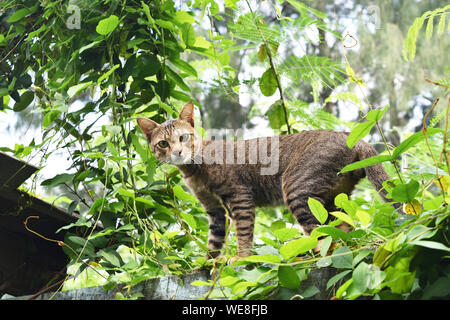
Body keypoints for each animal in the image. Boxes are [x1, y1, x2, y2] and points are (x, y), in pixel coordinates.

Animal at [138, 102, 394, 260]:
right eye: (163, 143)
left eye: (183, 137)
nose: (177, 151)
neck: (194, 169)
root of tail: (350, 137)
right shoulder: (214, 209)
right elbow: (214, 241)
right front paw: (207, 264)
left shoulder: (239, 196)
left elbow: (243, 231)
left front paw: (241, 258)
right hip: (333, 200)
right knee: (343, 229)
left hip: (297, 188)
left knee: (323, 235)